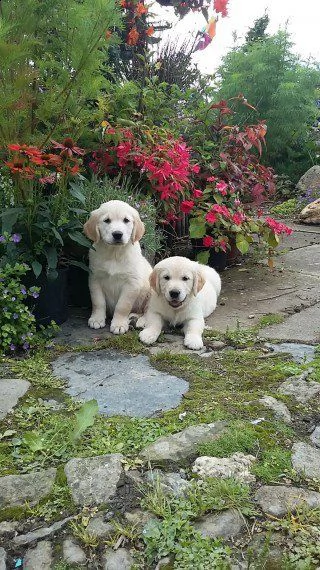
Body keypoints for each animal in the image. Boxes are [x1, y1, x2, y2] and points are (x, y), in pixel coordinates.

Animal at [83, 200, 152, 332]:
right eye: (107, 220)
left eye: (126, 220)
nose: (117, 234)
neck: (114, 253)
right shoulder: (95, 279)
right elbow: (98, 302)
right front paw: (97, 319)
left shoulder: (131, 283)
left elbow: (122, 306)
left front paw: (119, 324)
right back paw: (133, 317)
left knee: (149, 311)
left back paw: (141, 321)